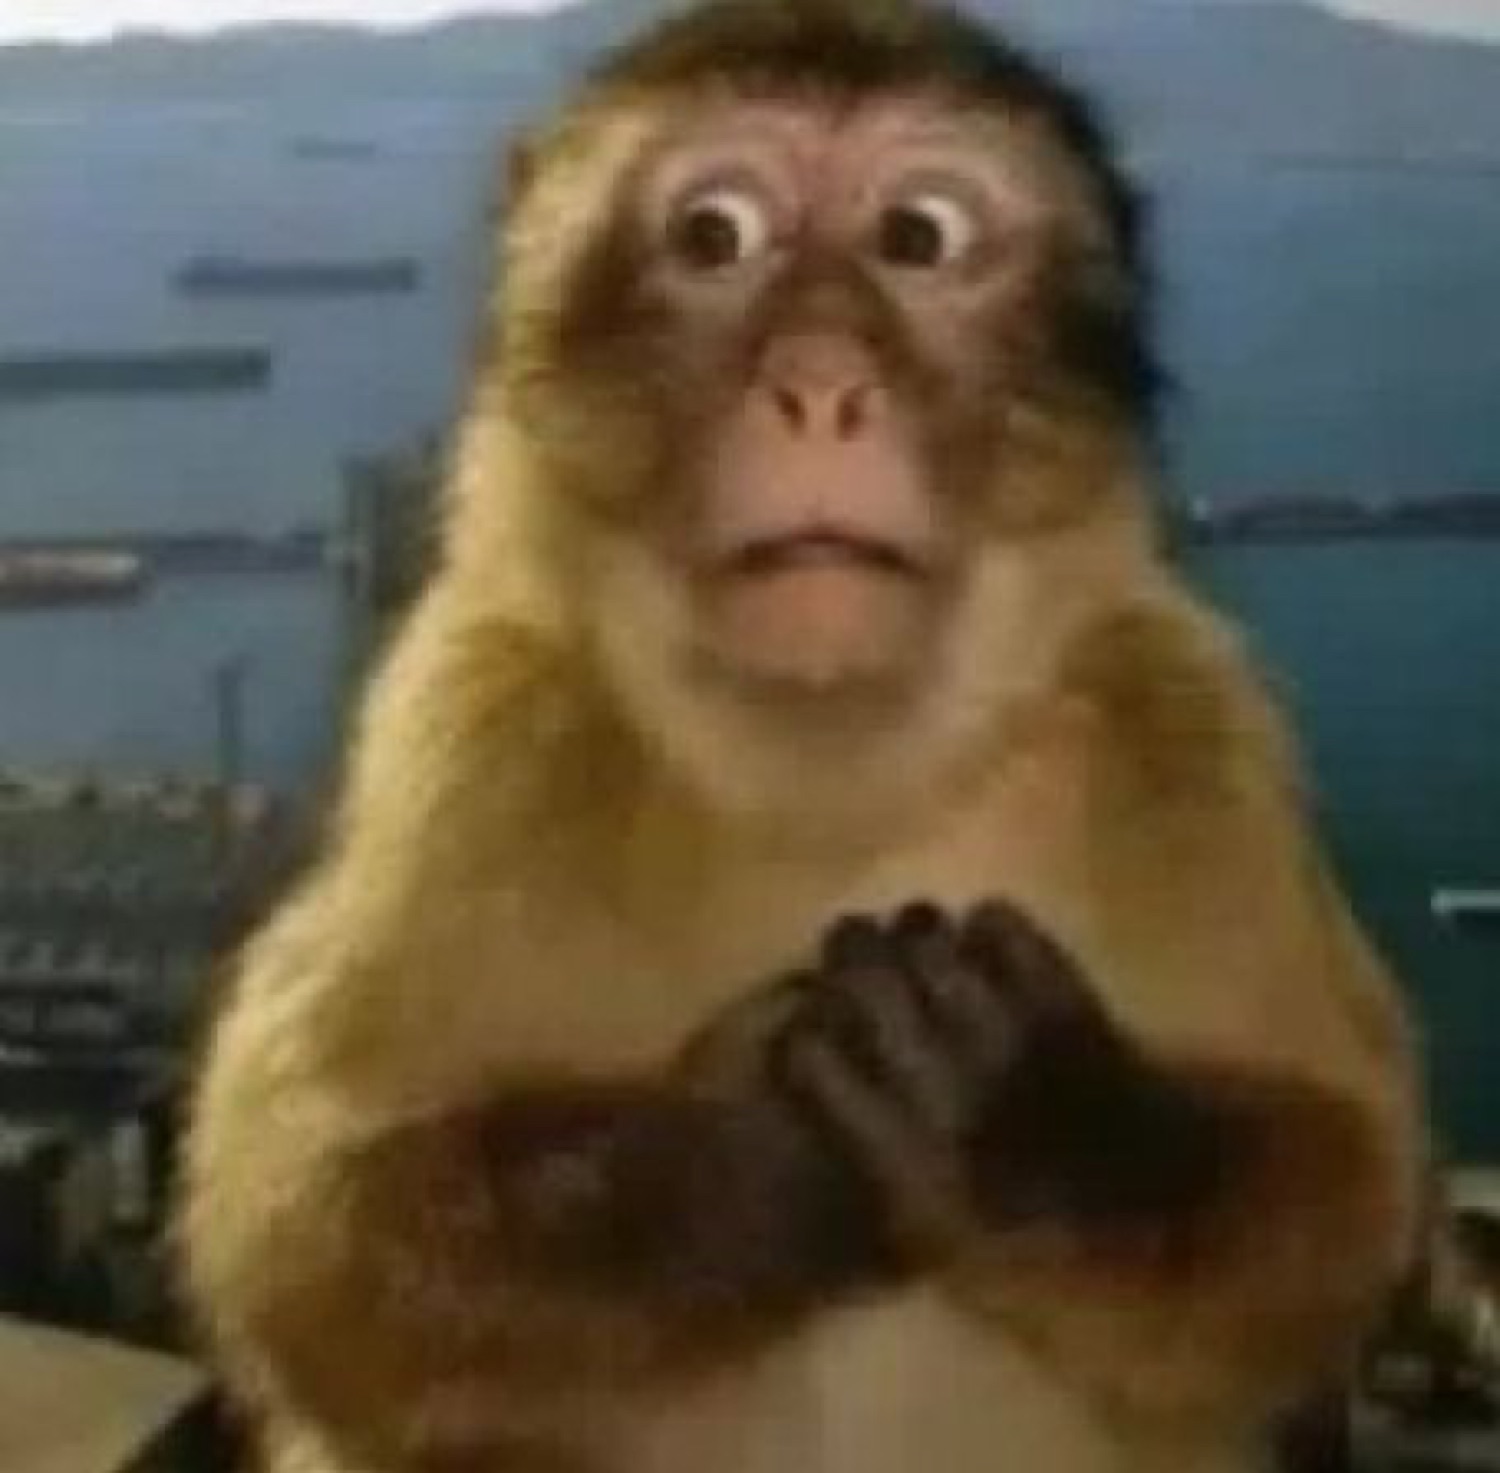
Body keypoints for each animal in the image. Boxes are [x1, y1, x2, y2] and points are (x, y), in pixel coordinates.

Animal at [176, 3, 1428, 1472]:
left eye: (919, 237)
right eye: (715, 236)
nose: (821, 384)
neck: (832, 774)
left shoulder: (1183, 726)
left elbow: (1339, 1183)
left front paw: (1031, 1127)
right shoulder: (478, 725)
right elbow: (307, 1226)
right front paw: (758, 1147)